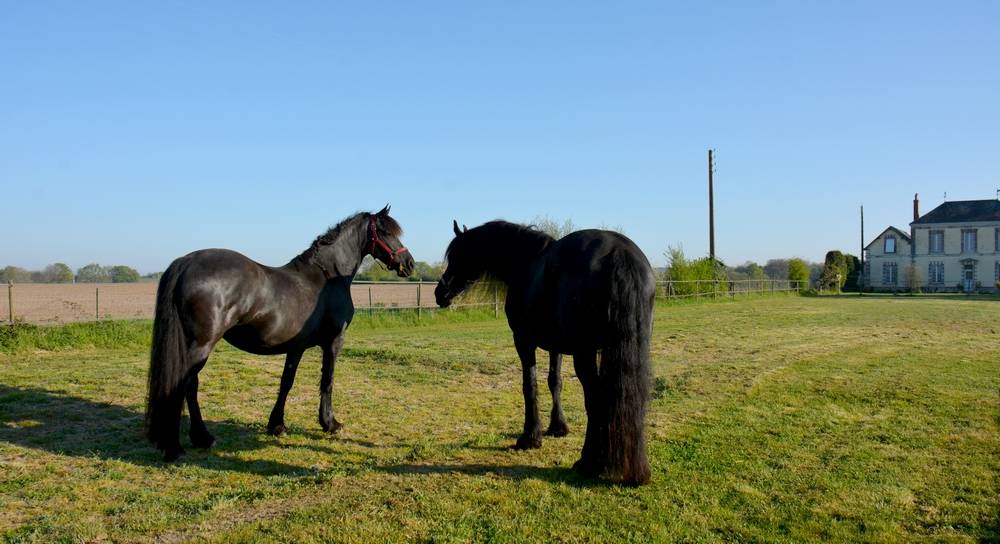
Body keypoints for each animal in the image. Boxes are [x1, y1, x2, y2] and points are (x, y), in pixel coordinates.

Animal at [145, 206, 415, 462]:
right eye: (386, 232)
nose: (409, 263)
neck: (326, 277)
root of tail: (186, 262)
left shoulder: (296, 346)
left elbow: (286, 382)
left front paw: (277, 425)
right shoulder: (334, 342)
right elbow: (327, 381)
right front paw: (330, 423)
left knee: (190, 386)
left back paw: (201, 438)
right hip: (200, 345)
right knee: (185, 385)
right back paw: (178, 447)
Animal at [435, 220, 654, 485]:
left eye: (457, 255)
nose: (440, 293)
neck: (525, 262)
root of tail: (618, 252)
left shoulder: (523, 341)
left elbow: (529, 385)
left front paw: (530, 437)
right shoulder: (555, 346)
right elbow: (554, 381)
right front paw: (557, 427)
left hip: (585, 354)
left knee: (595, 398)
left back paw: (588, 463)